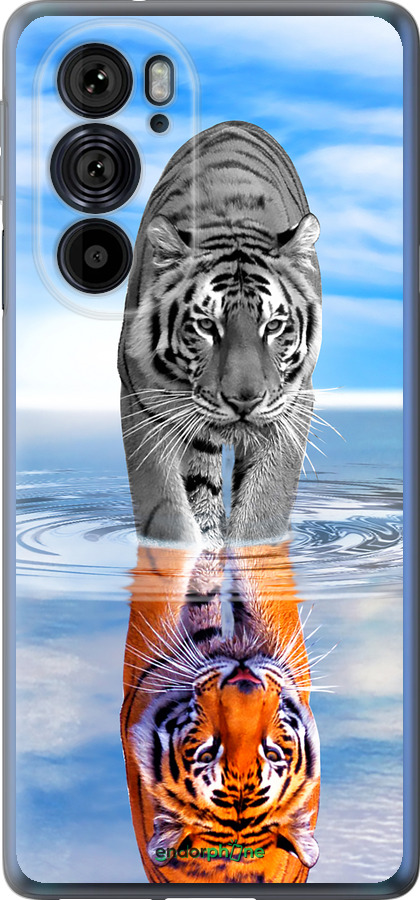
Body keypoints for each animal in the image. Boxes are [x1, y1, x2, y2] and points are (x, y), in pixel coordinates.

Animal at [118, 120, 322, 549]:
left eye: (273, 326)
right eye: (207, 326)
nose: (244, 400)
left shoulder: (293, 405)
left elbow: (263, 509)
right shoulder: (142, 401)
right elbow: (165, 511)